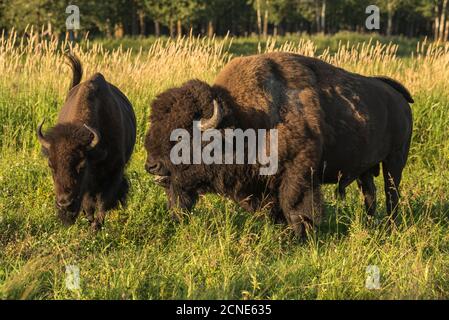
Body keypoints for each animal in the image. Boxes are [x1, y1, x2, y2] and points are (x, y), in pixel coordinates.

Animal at [37, 55, 136, 230]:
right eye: (50, 165)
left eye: (82, 166)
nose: (64, 204)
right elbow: (89, 205)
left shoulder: (114, 172)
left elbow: (103, 203)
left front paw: (96, 227)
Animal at [144, 52, 412, 236]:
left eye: (182, 137)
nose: (151, 166)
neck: (242, 120)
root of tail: (397, 96)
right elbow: (275, 209)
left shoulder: (299, 174)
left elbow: (295, 207)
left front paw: (299, 237)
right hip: (365, 169)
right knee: (370, 193)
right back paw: (370, 223)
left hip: (394, 162)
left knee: (391, 193)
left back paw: (390, 225)